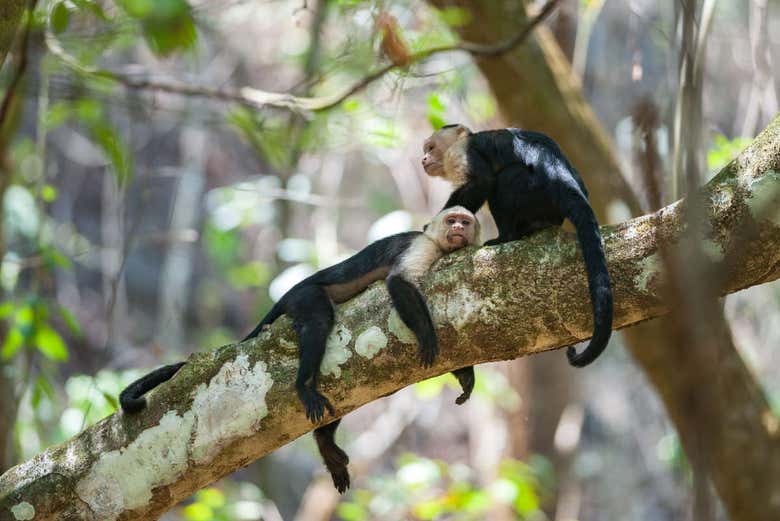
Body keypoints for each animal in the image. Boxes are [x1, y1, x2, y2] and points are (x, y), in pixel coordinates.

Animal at [119, 206, 482, 492]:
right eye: (452, 220)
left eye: (465, 222)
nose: (458, 229)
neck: (438, 244)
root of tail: (287, 293)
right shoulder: (422, 245)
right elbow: (399, 283)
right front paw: (428, 336)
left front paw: (465, 375)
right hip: (303, 297)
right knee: (319, 321)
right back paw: (302, 387)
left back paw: (326, 445)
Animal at [424, 124, 612, 368]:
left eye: (430, 148)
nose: (423, 158)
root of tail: (562, 177)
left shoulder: (460, 153)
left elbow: (482, 182)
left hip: (534, 191)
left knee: (505, 179)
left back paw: (506, 237)